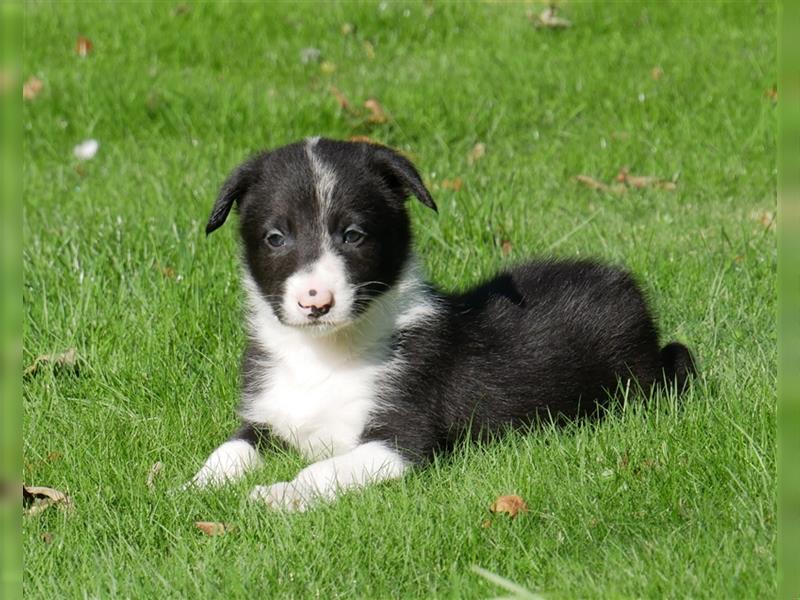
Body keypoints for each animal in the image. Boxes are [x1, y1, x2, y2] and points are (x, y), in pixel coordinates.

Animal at [191, 137, 696, 510]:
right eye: (276, 237)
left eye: (353, 235)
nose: (316, 301)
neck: (322, 355)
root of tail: (621, 281)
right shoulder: (267, 418)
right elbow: (229, 449)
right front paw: (190, 488)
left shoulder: (402, 439)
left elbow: (324, 468)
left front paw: (281, 494)